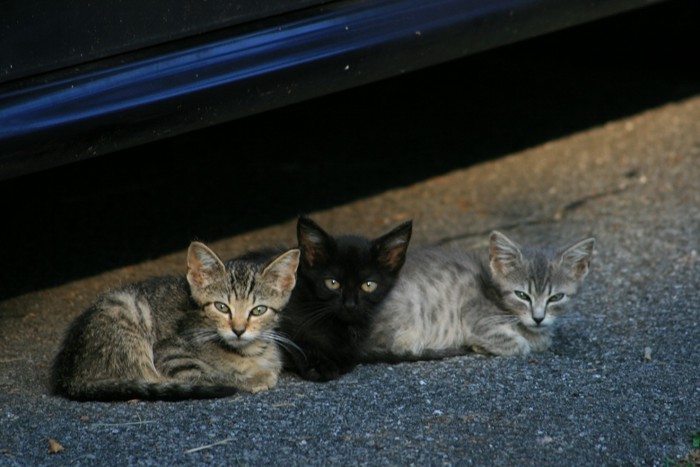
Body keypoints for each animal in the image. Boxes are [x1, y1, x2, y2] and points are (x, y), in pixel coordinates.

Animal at [50, 241, 298, 402]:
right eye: (221, 307)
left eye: (258, 310)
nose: (238, 330)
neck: (249, 351)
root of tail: (69, 373)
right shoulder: (171, 355)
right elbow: (214, 375)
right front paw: (254, 378)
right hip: (130, 311)